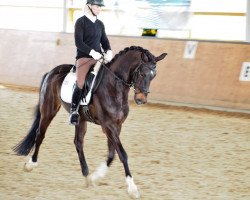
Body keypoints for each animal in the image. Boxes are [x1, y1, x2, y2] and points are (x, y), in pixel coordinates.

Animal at [12, 45, 167, 198]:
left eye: (154, 75)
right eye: (142, 74)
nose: (141, 100)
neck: (114, 87)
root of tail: (51, 71)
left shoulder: (117, 126)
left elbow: (112, 154)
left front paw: (95, 177)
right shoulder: (108, 126)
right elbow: (122, 154)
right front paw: (132, 188)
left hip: (81, 119)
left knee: (78, 142)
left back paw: (86, 175)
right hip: (49, 109)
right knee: (40, 134)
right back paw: (31, 164)